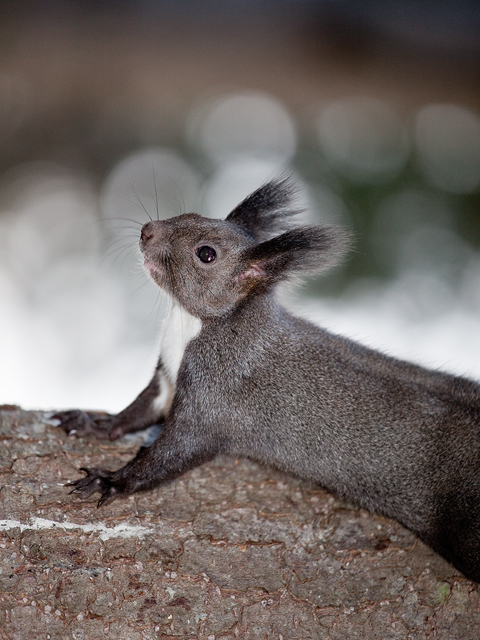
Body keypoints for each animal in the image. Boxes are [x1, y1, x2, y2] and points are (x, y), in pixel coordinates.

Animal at [54, 178, 480, 584]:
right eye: (191, 213)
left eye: (206, 254)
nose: (146, 230)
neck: (191, 324)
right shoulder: (166, 381)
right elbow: (136, 412)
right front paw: (93, 424)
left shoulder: (215, 395)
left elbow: (170, 452)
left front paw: (112, 480)